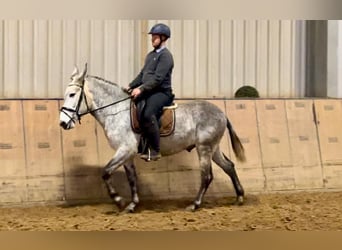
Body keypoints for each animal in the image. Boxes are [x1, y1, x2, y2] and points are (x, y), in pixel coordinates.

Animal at [59, 64, 246, 213]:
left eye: (72, 94)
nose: (62, 123)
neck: (116, 111)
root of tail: (221, 113)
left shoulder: (125, 149)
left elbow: (105, 172)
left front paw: (119, 201)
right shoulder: (126, 153)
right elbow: (131, 178)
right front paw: (131, 205)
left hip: (204, 148)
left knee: (206, 176)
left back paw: (195, 204)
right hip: (213, 148)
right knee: (229, 166)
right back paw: (239, 197)